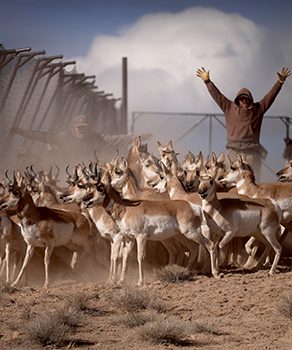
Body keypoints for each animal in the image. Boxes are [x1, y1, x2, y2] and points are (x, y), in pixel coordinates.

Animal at [81, 170, 220, 288]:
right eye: (89, 187)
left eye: (100, 188)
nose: (85, 199)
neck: (126, 208)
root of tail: (193, 206)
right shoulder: (129, 239)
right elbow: (125, 256)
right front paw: (120, 281)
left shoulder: (140, 237)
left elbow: (140, 256)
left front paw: (140, 282)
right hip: (182, 235)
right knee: (194, 248)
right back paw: (188, 271)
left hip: (191, 233)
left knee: (210, 244)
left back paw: (216, 274)